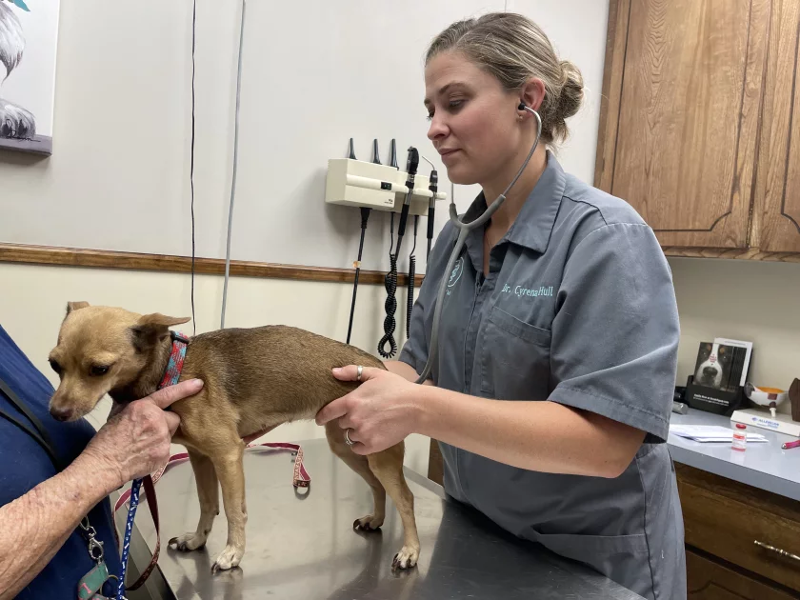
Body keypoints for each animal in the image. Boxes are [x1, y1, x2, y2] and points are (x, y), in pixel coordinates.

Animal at [47, 304, 422, 572]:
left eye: (99, 369)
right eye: (54, 365)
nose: (56, 413)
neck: (172, 369)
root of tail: (378, 366)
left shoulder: (227, 454)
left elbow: (232, 509)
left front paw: (233, 553)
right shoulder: (201, 457)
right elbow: (207, 504)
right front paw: (197, 540)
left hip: (378, 451)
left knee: (404, 496)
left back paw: (410, 551)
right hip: (347, 444)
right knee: (377, 486)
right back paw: (375, 520)